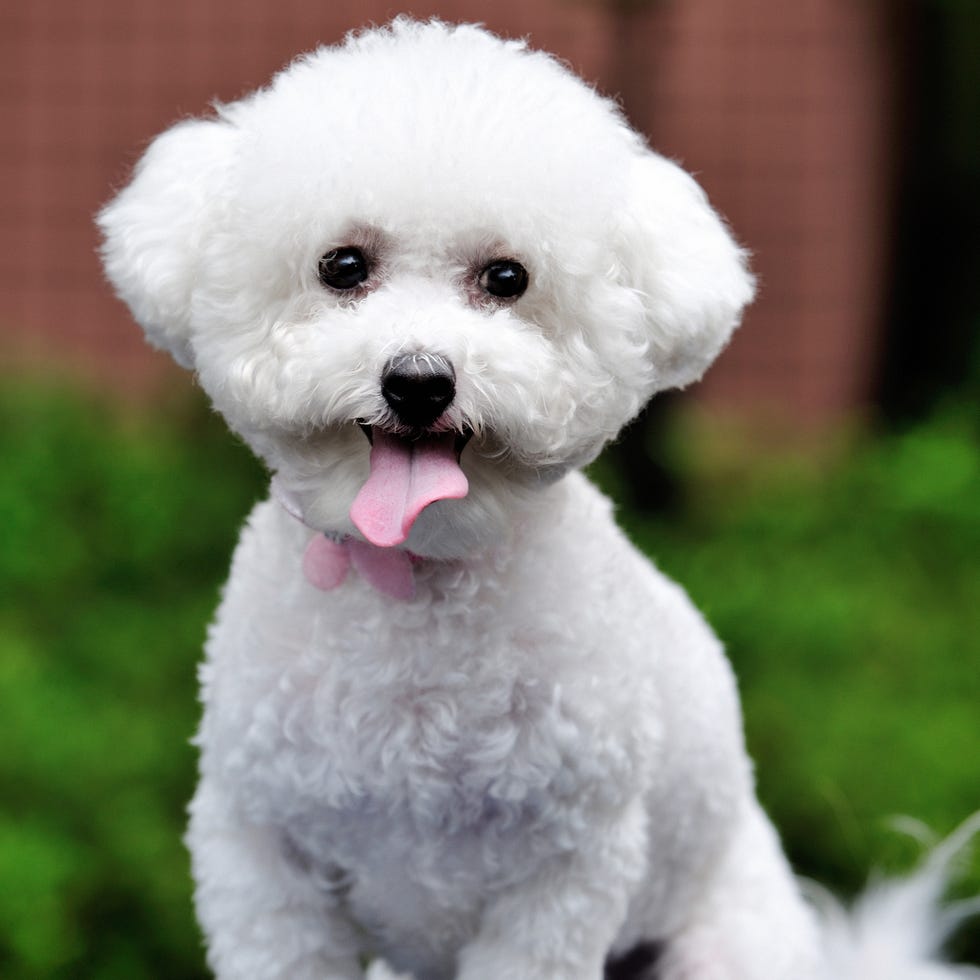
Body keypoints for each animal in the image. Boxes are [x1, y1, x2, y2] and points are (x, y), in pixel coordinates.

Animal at [97, 17, 972, 980]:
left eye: (508, 279)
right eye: (343, 265)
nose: (418, 381)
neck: (417, 583)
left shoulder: (561, 877)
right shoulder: (261, 858)